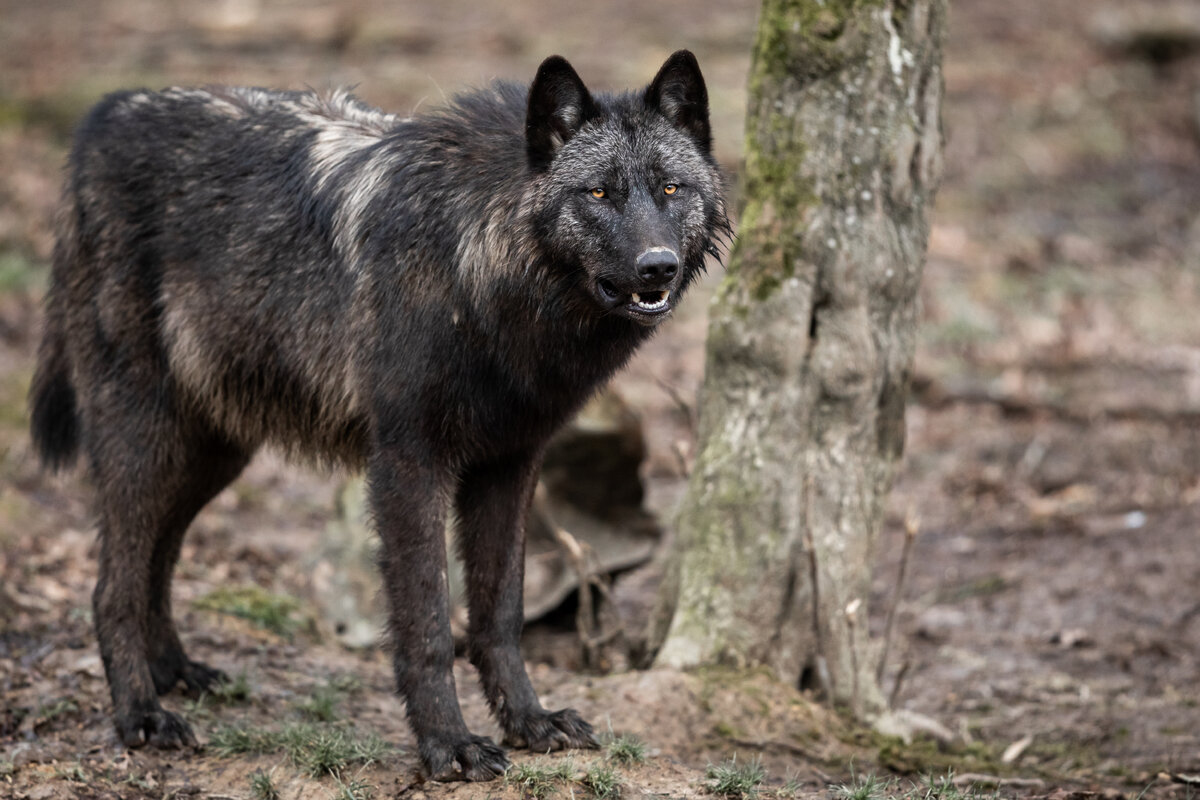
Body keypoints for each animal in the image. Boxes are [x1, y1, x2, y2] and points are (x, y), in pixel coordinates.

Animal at [30, 51, 729, 782]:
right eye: (597, 194)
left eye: (671, 188)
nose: (657, 266)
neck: (479, 278)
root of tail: (105, 114)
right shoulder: (407, 463)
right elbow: (427, 623)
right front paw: (448, 745)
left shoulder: (510, 464)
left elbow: (499, 615)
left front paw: (528, 723)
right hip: (143, 436)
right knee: (112, 584)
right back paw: (141, 714)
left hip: (214, 451)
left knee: (158, 555)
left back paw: (176, 672)